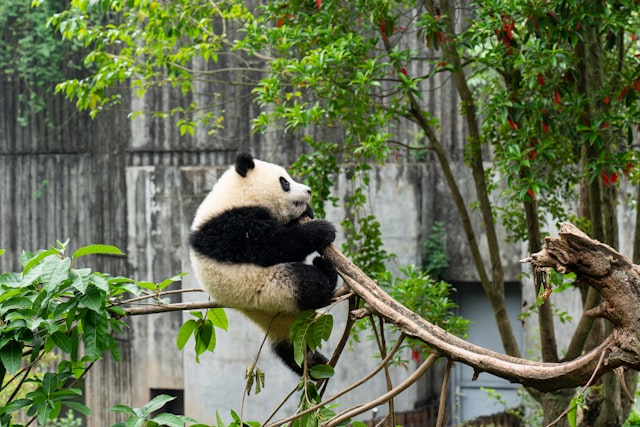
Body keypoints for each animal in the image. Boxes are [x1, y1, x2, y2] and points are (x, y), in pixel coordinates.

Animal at [189, 153, 340, 374]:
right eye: (284, 182)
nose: (308, 191)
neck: (235, 195)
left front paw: (308, 212)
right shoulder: (229, 227)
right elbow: (271, 246)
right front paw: (322, 229)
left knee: (287, 347)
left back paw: (313, 363)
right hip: (273, 288)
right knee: (309, 283)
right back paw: (325, 270)